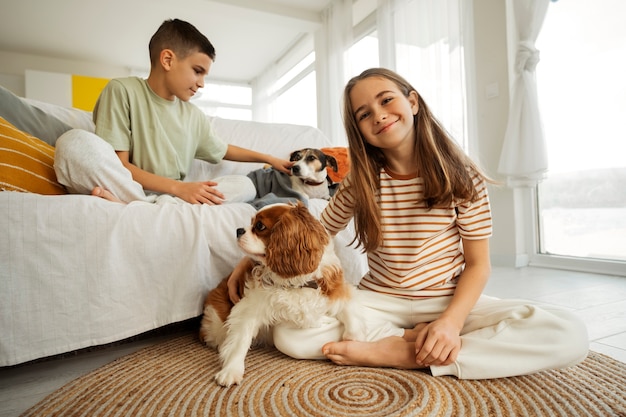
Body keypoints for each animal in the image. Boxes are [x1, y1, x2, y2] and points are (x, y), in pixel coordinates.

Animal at [202, 202, 364, 386]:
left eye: (259, 226)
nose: (238, 230)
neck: (295, 282)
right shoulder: (249, 309)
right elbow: (240, 341)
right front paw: (231, 370)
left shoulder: (334, 285)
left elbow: (347, 307)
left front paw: (354, 337)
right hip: (215, 326)